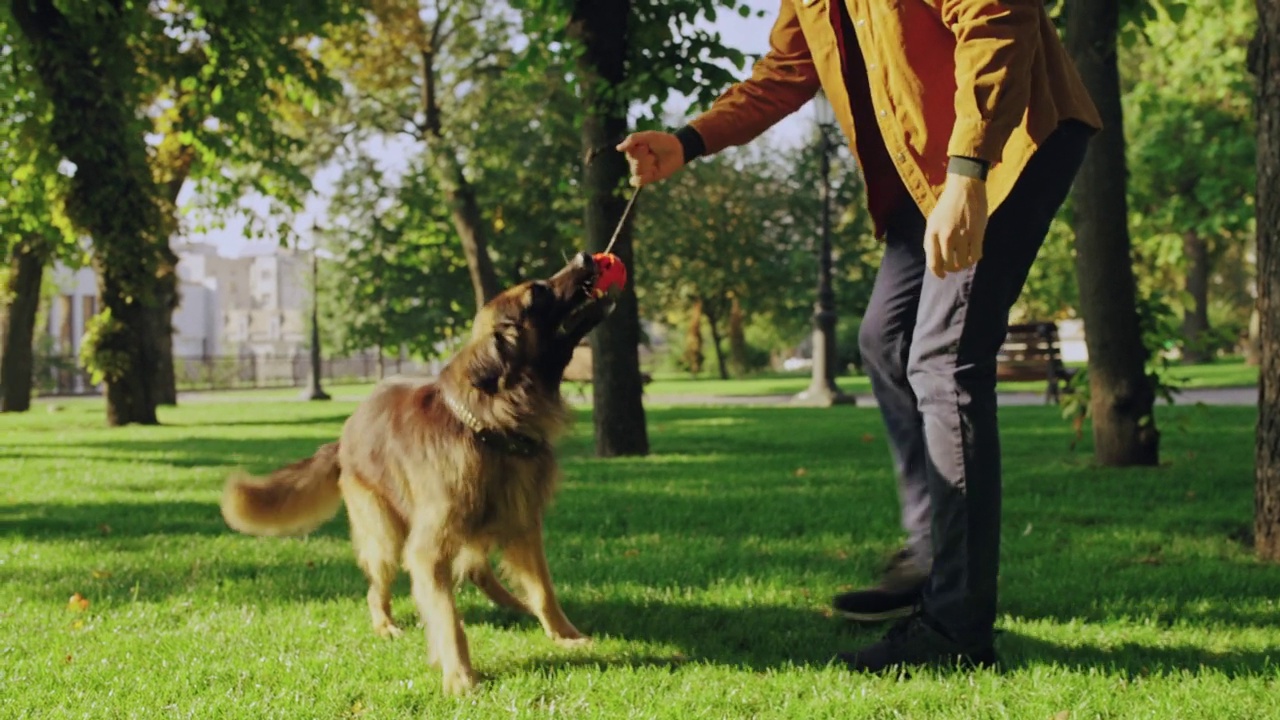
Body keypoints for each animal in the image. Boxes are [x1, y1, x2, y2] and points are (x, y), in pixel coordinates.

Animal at [218, 251, 614, 691]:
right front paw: (459, 673)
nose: (584, 256)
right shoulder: (427, 549)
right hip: (385, 535)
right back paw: (386, 626)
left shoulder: (523, 524)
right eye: (538, 293)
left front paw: (564, 635)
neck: (489, 426)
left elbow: (544, 589)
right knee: (378, 589)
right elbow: (448, 617)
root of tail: (344, 436)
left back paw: (514, 604)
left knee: (477, 569)